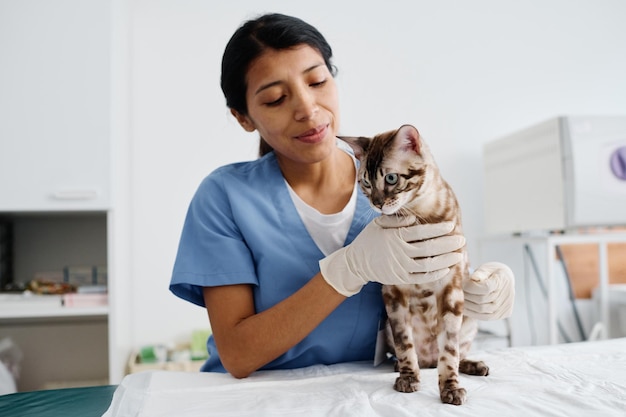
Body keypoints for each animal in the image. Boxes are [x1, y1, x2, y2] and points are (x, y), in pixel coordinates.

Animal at [338, 122, 486, 404]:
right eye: (365, 182)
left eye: (391, 178)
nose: (377, 203)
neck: (419, 216)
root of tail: (428, 360)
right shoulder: (393, 293)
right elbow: (405, 344)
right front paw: (408, 378)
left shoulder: (451, 287)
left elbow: (449, 351)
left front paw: (450, 387)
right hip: (386, 323)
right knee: (415, 356)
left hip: (469, 320)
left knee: (454, 354)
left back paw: (474, 365)